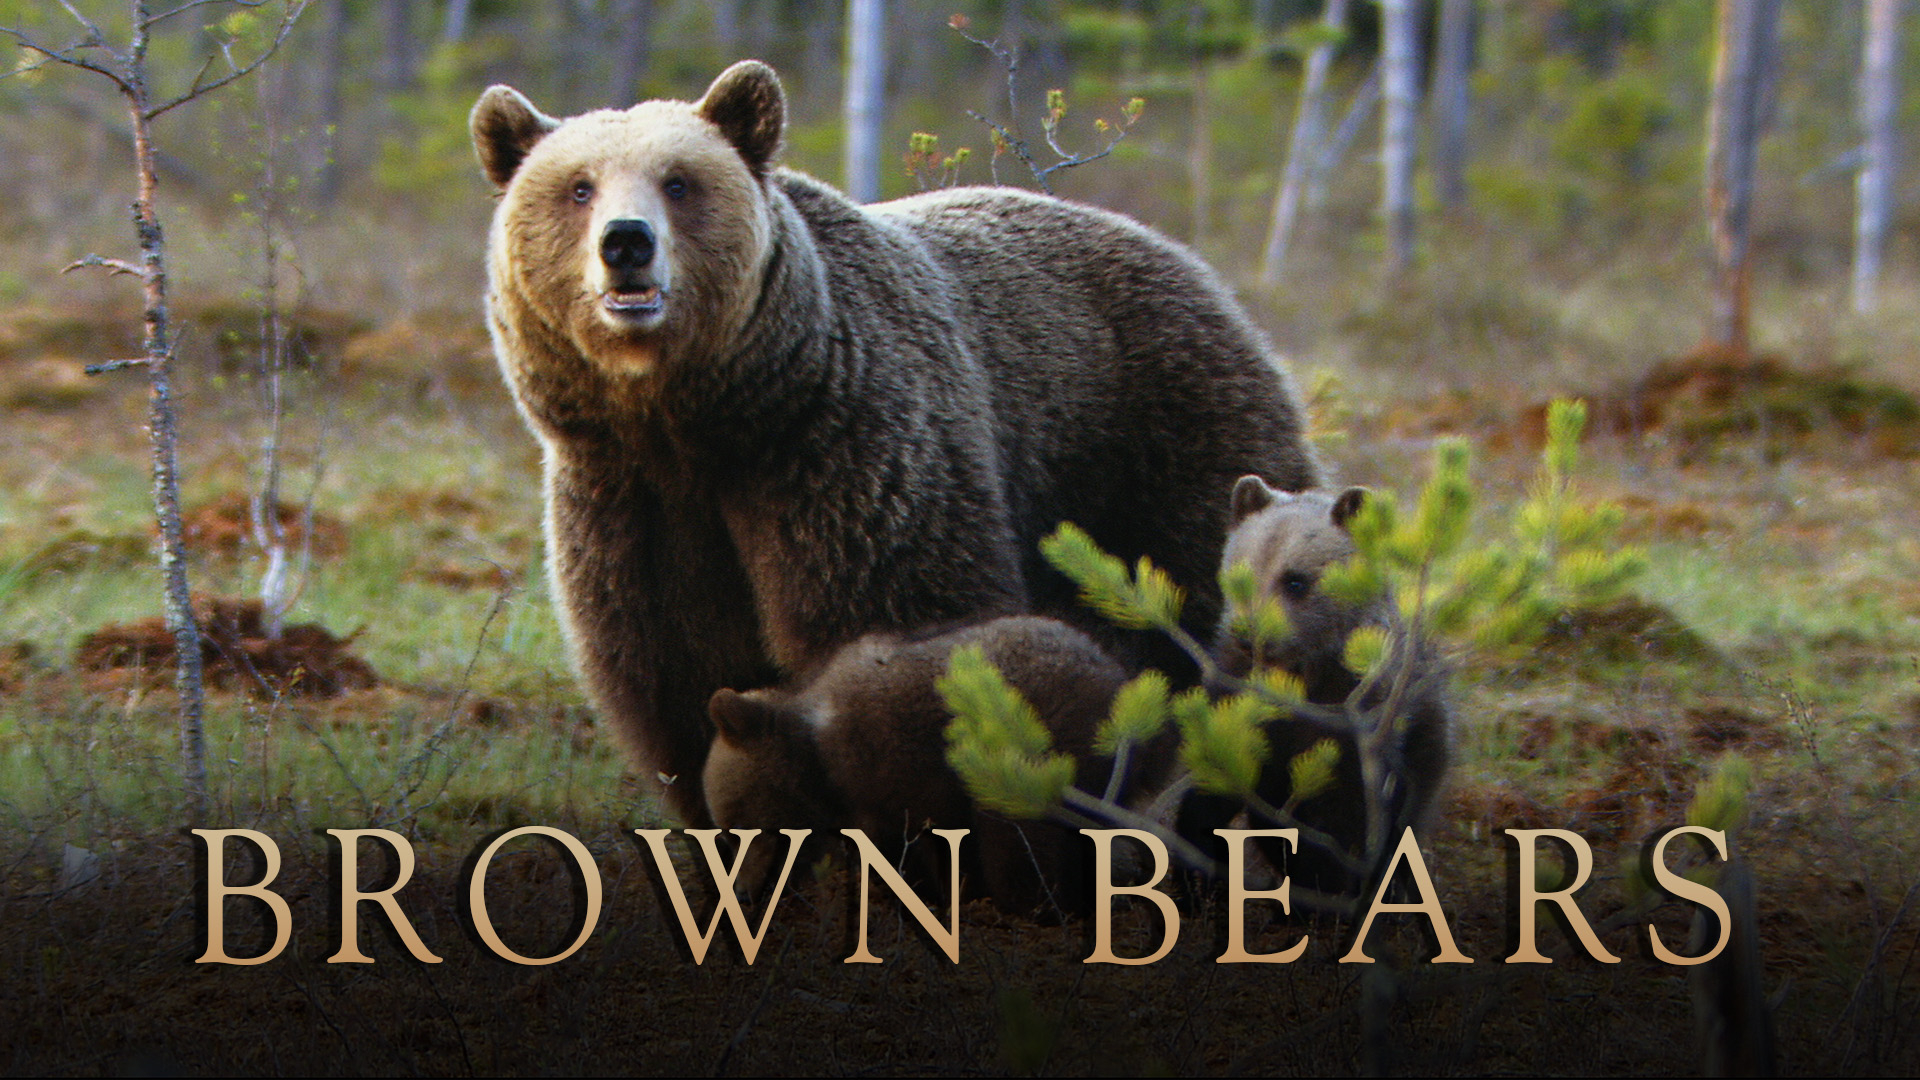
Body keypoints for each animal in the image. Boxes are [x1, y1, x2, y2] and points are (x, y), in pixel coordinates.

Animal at [470, 60, 1319, 825]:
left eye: (678, 182)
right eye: (579, 186)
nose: (626, 242)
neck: (704, 418)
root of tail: (1187, 259)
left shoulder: (842, 451)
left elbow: (894, 620)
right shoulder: (630, 501)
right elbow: (670, 673)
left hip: (1164, 437)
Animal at [702, 616, 1171, 915]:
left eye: (737, 826)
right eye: (727, 832)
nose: (741, 892)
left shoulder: (895, 770)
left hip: (1036, 749)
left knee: (1018, 838)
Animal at [1212, 476, 1451, 893]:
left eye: (1296, 580)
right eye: (1242, 572)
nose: (1250, 634)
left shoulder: (1353, 728)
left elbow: (1342, 822)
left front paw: (1327, 884)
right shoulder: (1234, 695)